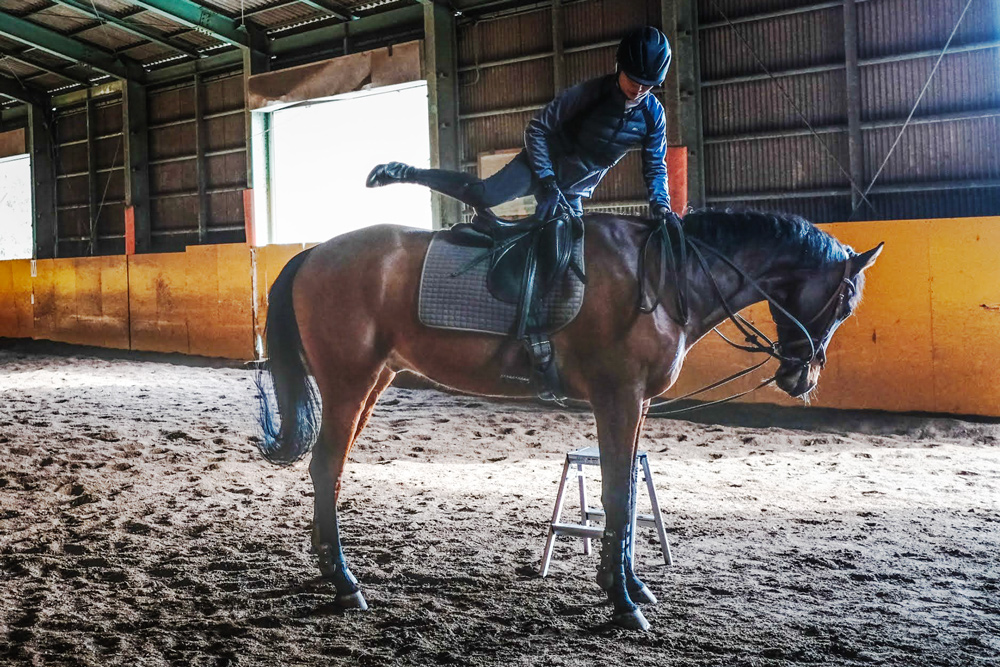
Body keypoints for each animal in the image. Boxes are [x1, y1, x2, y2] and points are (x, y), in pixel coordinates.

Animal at [253, 209, 883, 631]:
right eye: (845, 299)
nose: (802, 379)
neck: (663, 276)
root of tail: (314, 253)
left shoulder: (638, 403)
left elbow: (627, 490)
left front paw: (627, 584)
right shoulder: (618, 395)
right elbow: (615, 496)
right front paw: (623, 603)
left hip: (376, 378)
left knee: (328, 471)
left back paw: (331, 572)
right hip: (349, 381)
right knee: (327, 468)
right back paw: (344, 585)